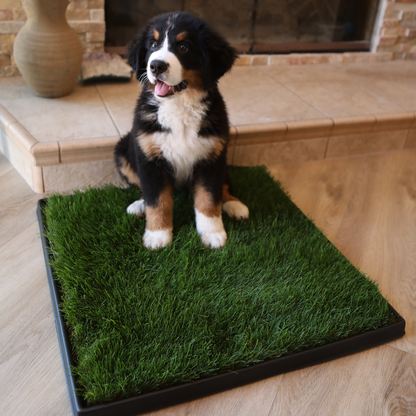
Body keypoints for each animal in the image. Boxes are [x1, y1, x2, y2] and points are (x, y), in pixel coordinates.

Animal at [114, 11, 247, 249]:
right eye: (153, 44)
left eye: (183, 47)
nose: (156, 66)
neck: (179, 105)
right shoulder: (149, 158)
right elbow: (157, 200)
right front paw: (157, 234)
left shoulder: (211, 157)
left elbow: (209, 198)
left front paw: (212, 232)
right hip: (123, 150)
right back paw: (139, 205)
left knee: (225, 187)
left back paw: (235, 205)